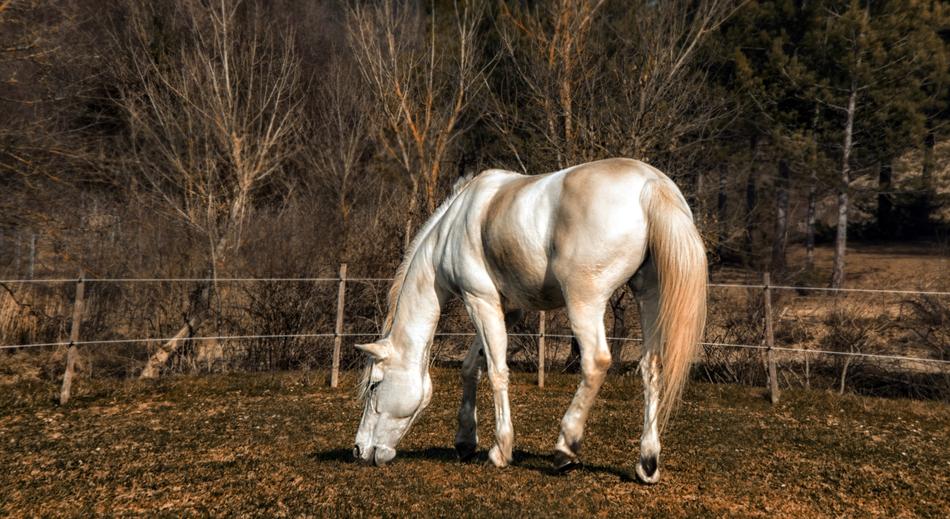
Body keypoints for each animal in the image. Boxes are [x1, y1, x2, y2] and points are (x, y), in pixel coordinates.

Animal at [353, 158, 707, 484]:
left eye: (374, 385)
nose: (359, 450)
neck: (452, 226)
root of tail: (651, 184)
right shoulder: (507, 311)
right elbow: (471, 367)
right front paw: (465, 441)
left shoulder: (480, 300)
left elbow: (496, 371)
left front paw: (500, 450)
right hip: (649, 297)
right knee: (651, 369)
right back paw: (647, 463)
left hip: (585, 301)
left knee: (596, 362)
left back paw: (566, 448)